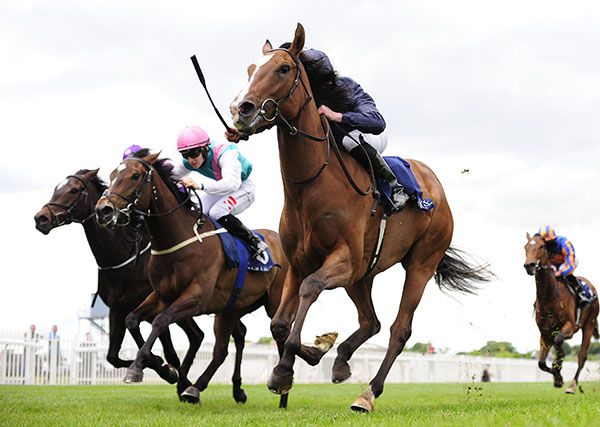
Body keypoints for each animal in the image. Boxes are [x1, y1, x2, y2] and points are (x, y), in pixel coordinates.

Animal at [96, 152, 336, 406]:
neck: (178, 240)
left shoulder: (196, 297)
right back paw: (202, 388)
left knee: (279, 333)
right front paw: (162, 367)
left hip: (274, 301)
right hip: (231, 308)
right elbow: (132, 319)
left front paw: (139, 369)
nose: (104, 210)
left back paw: (283, 390)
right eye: (112, 175)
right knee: (224, 348)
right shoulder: (162, 295)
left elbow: (161, 320)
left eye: (135, 176)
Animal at [230, 22, 492, 412]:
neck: (312, 185)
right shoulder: (299, 263)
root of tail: (436, 186)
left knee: (399, 329)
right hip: (363, 275)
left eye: (283, 69)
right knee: (371, 322)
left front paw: (284, 370)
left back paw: (368, 393)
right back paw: (341, 361)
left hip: (420, 262)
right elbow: (279, 323)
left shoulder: (343, 260)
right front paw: (313, 352)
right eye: (250, 70)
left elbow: (310, 290)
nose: (240, 110)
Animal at [524, 234, 596, 394]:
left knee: (582, 356)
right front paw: (557, 377)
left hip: (589, 323)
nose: (529, 265)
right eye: (525, 247)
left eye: (541, 247)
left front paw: (558, 372)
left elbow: (558, 344)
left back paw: (572, 386)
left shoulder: (569, 327)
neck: (550, 297)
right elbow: (541, 363)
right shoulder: (545, 333)